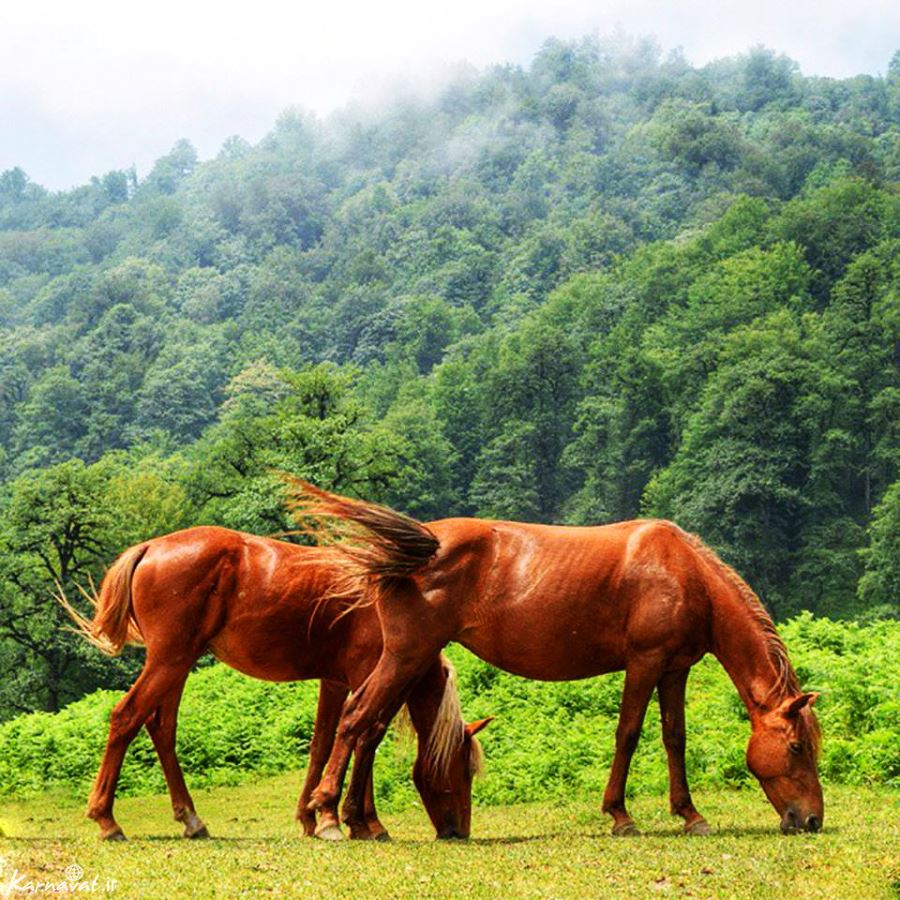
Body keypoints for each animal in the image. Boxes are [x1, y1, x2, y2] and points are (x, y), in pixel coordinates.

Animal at [63, 528, 488, 844]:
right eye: (462, 769)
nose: (459, 830)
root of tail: (150, 547)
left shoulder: (335, 682)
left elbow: (324, 745)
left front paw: (313, 818)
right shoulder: (365, 677)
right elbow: (364, 738)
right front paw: (354, 821)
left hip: (176, 665)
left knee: (161, 728)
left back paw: (191, 819)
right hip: (169, 662)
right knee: (126, 717)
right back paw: (107, 820)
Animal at [292, 486, 828, 836]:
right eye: (797, 747)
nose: (811, 820)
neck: (684, 573)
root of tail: (417, 547)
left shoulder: (676, 668)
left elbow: (674, 738)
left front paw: (691, 816)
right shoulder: (645, 662)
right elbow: (629, 734)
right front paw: (621, 816)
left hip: (411, 660)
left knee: (371, 728)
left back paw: (360, 822)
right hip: (406, 656)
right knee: (357, 719)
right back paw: (329, 816)